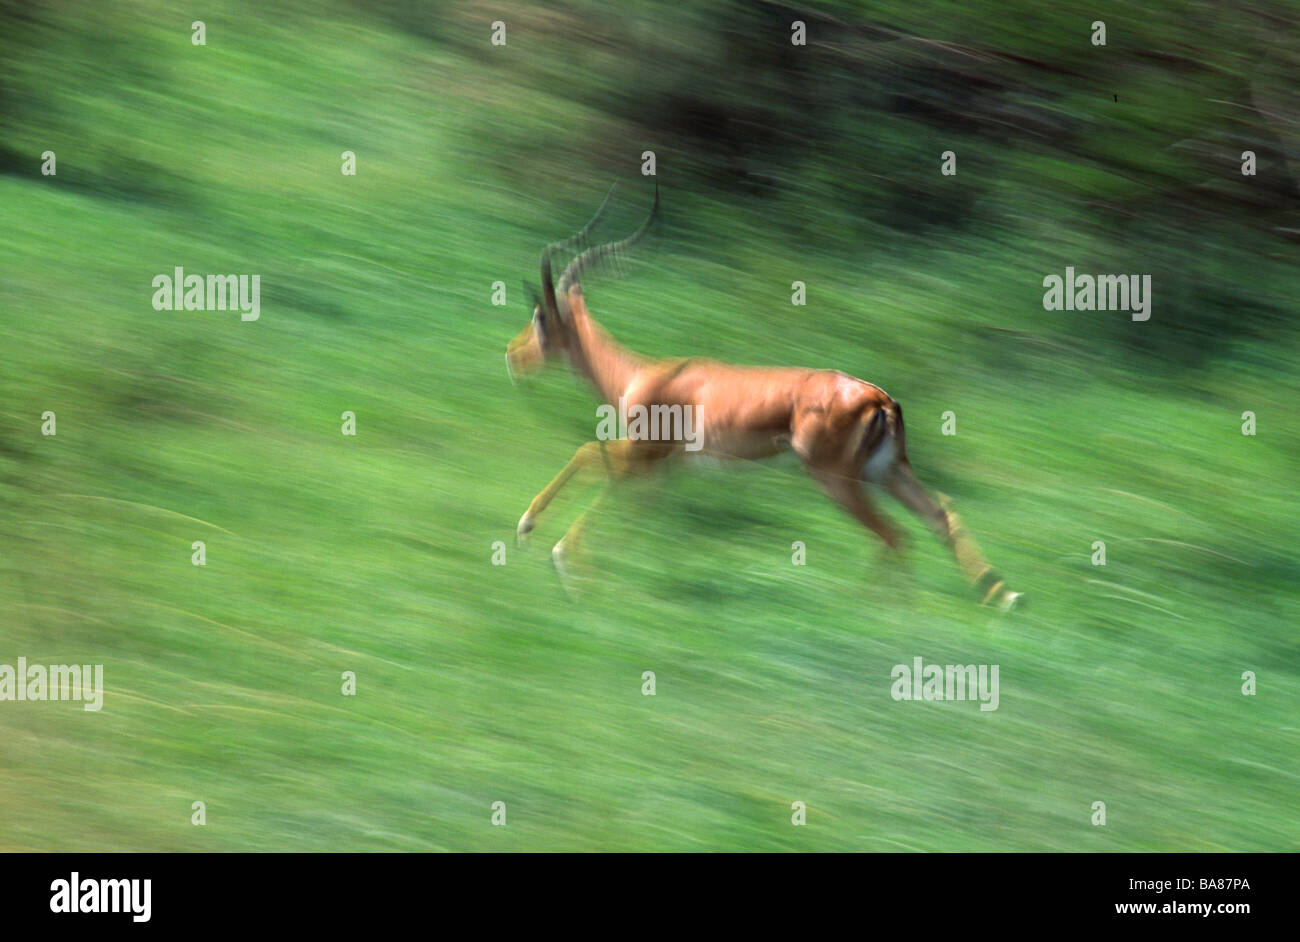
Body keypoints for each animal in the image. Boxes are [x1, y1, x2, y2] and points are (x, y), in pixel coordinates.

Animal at [506, 185, 1021, 610]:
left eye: (539, 317)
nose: (513, 355)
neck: (638, 376)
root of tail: (880, 400)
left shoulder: (641, 452)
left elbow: (587, 453)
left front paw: (549, 548)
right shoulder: (661, 468)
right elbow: (629, 504)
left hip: (837, 479)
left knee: (894, 535)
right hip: (887, 472)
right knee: (940, 513)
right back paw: (1002, 597)